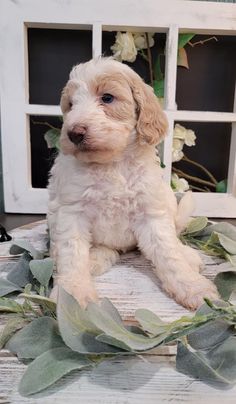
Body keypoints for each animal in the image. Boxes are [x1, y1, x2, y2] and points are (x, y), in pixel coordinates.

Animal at [47, 56, 218, 310]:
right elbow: (72, 254)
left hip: (166, 200)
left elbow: (168, 252)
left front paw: (193, 287)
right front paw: (74, 295)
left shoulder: (151, 212)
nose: (74, 133)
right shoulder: (71, 212)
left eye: (107, 98)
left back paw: (187, 255)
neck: (112, 163)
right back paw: (93, 258)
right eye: (70, 105)